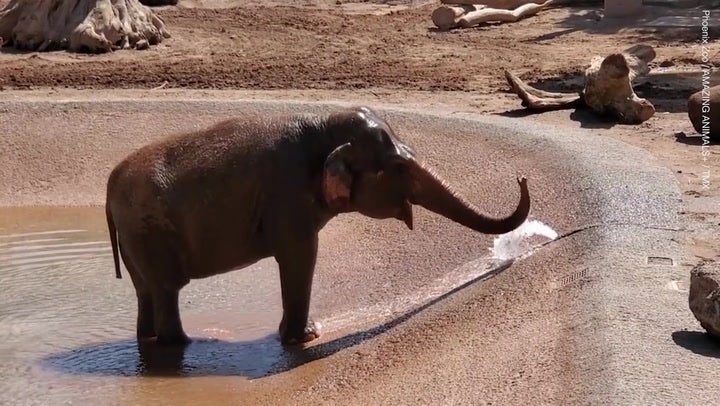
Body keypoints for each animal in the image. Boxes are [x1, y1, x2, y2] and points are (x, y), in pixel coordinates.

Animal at [108, 106, 536, 348]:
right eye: (399, 167)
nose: (522, 177)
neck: (321, 125)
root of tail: (109, 187)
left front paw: (300, 335)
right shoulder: (287, 193)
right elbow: (301, 254)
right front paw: (306, 337)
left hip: (135, 239)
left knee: (146, 291)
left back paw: (152, 341)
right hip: (149, 233)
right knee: (167, 289)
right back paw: (183, 345)